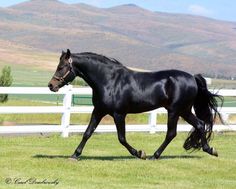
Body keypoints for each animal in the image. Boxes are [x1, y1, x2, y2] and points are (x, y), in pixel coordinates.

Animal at [48, 49, 223, 160]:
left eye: (61, 67)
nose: (51, 85)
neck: (109, 80)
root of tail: (192, 77)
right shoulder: (98, 111)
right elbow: (87, 133)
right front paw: (74, 155)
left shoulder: (119, 114)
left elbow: (121, 138)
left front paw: (140, 153)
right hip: (184, 110)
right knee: (200, 124)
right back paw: (210, 150)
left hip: (175, 111)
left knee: (171, 133)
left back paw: (154, 156)